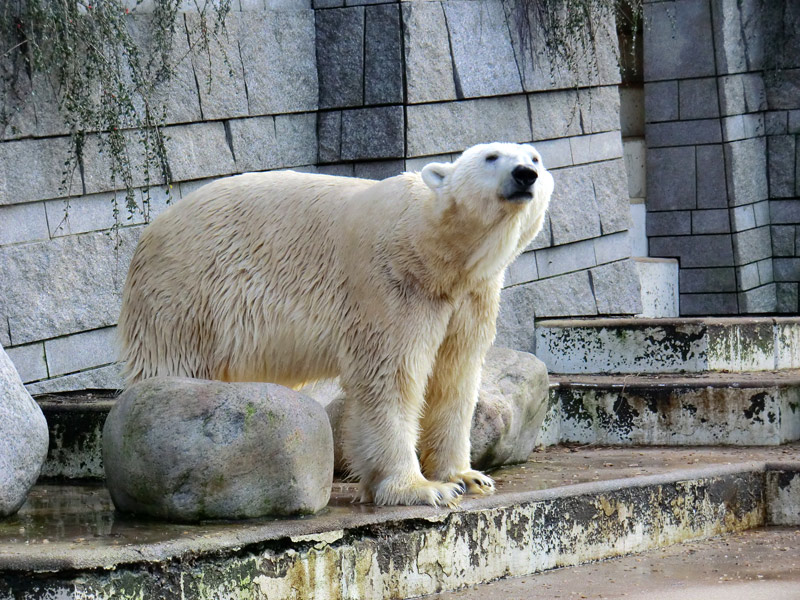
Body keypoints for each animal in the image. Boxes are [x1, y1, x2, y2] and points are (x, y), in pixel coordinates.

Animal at [119, 143, 552, 508]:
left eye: (534, 157)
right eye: (492, 156)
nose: (525, 174)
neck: (430, 249)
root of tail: (150, 232)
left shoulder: (469, 297)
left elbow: (455, 376)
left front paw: (467, 477)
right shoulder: (388, 285)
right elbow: (390, 377)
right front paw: (420, 488)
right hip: (187, 293)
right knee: (173, 370)